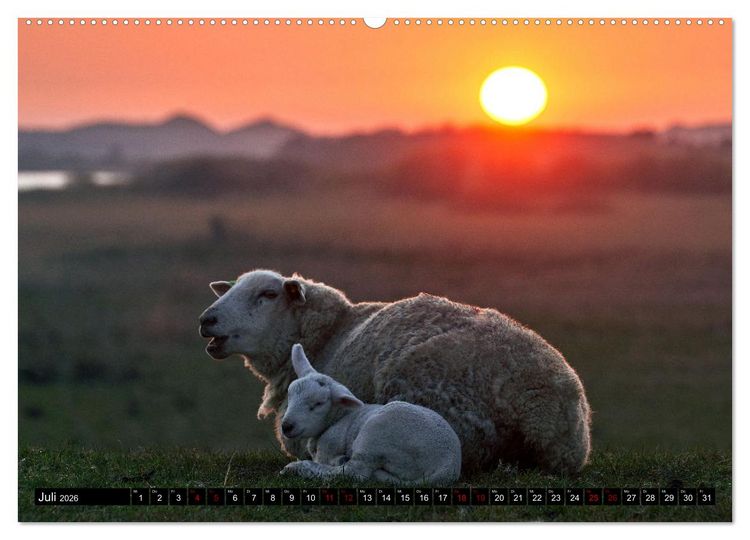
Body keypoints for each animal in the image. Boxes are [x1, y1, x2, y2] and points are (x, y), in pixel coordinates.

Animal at [279, 344, 462, 485]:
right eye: (290, 395)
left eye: (318, 404)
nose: (286, 426)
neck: (337, 419)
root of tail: (448, 466)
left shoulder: (329, 447)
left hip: (375, 435)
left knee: (353, 472)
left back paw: (298, 468)